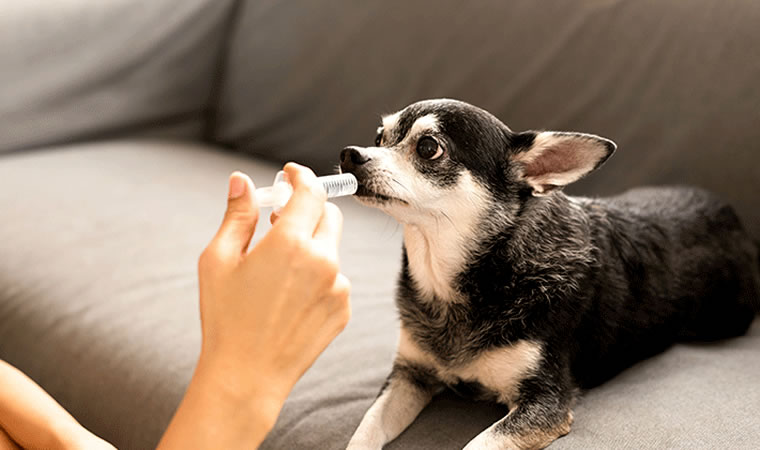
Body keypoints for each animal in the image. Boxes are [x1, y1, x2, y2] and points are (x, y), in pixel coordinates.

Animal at [340, 99, 760, 450]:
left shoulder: (545, 402)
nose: (350, 153)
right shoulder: (410, 375)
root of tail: (736, 220)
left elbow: (478, 444)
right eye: (379, 138)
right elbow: (366, 427)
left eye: (429, 147)